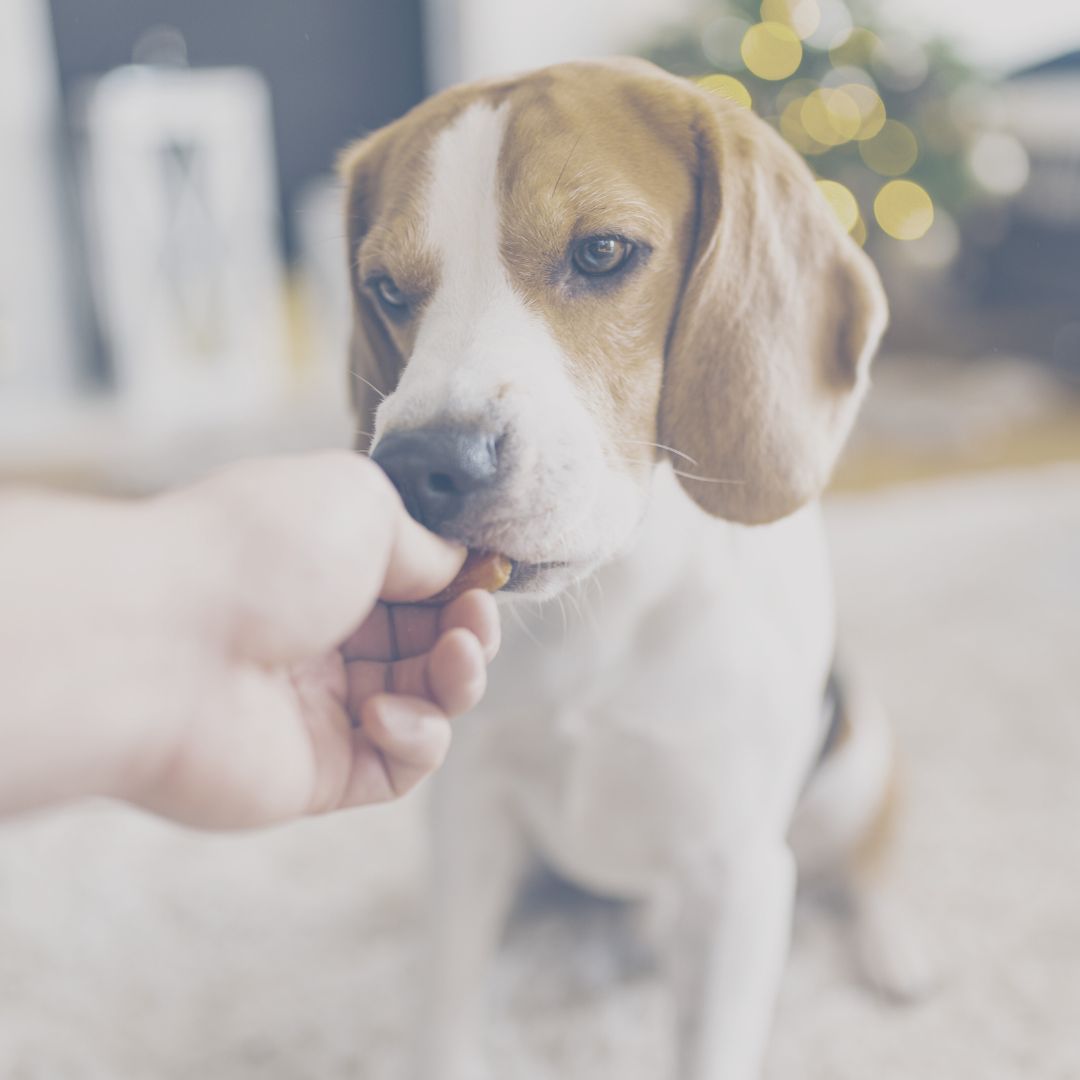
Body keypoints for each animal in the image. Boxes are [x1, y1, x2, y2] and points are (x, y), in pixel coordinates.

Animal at [339, 59, 928, 1080]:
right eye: (384, 287)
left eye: (603, 252)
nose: (417, 467)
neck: (607, 605)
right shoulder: (469, 824)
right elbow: (446, 1012)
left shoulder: (739, 882)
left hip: (859, 758)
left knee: (869, 858)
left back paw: (895, 948)